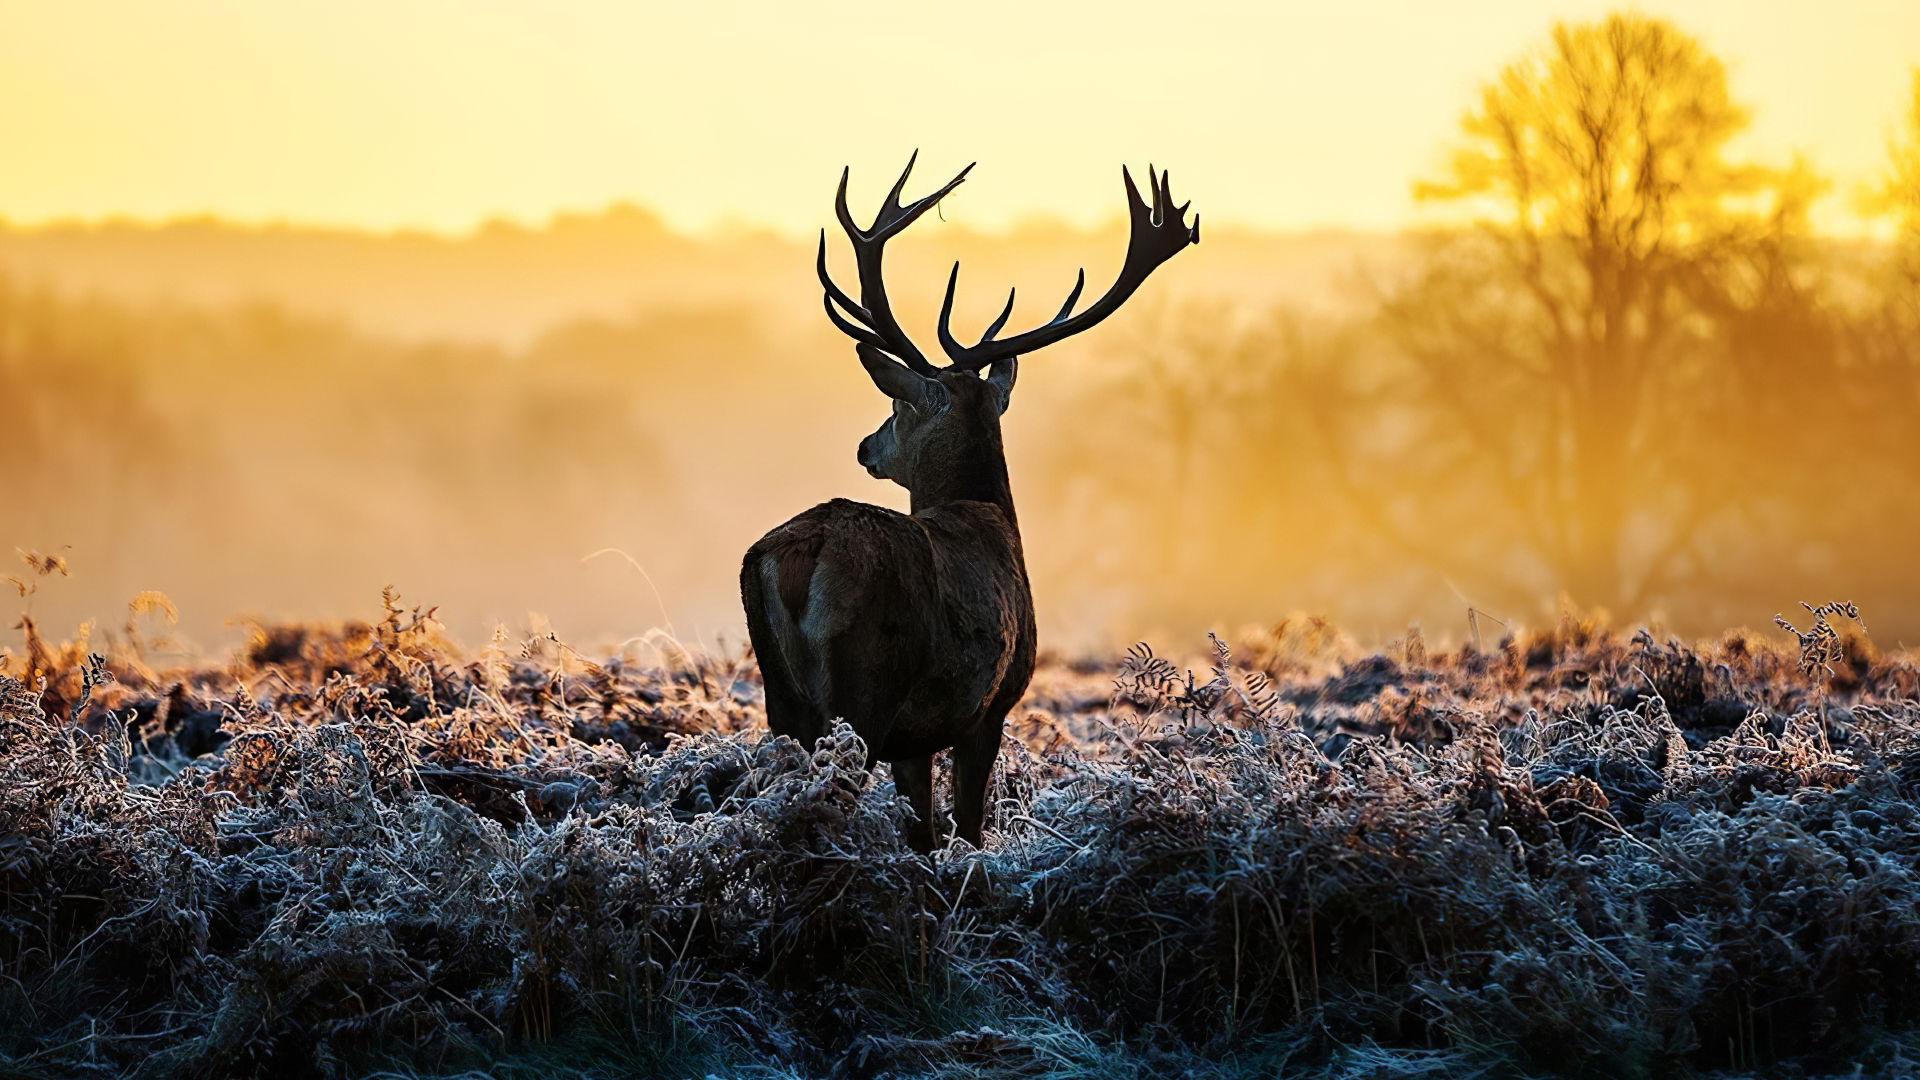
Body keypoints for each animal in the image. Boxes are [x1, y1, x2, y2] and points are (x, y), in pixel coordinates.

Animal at [740, 154, 1198, 853]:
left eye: (896, 405)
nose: (866, 446)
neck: (989, 516)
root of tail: (801, 552)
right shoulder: (989, 706)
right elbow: (968, 829)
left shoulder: (919, 737)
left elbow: (924, 831)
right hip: (865, 688)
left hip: (782, 699)